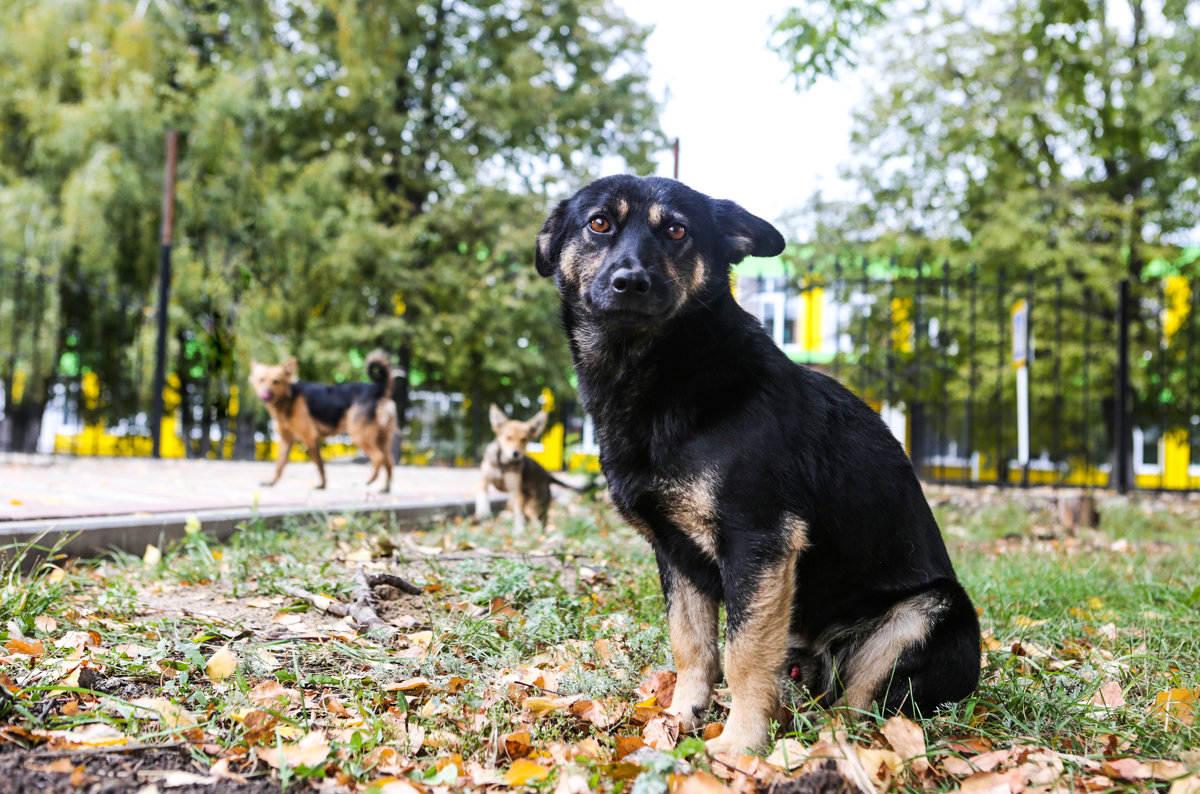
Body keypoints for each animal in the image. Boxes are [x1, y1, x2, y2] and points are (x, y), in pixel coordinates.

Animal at [248, 352, 398, 494]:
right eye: (261, 380)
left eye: (276, 381)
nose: (265, 393)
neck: (290, 397)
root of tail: (377, 390)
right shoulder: (287, 440)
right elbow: (279, 465)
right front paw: (271, 482)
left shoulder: (310, 437)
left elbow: (318, 464)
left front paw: (322, 485)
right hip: (382, 439)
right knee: (389, 463)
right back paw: (385, 489)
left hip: (359, 435)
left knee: (378, 458)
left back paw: (371, 480)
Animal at [540, 176, 979, 758]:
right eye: (599, 223)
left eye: (676, 230)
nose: (630, 281)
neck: (669, 375)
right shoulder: (677, 554)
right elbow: (693, 646)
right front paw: (679, 720)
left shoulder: (760, 540)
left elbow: (743, 657)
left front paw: (738, 746)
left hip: (931, 609)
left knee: (859, 710)